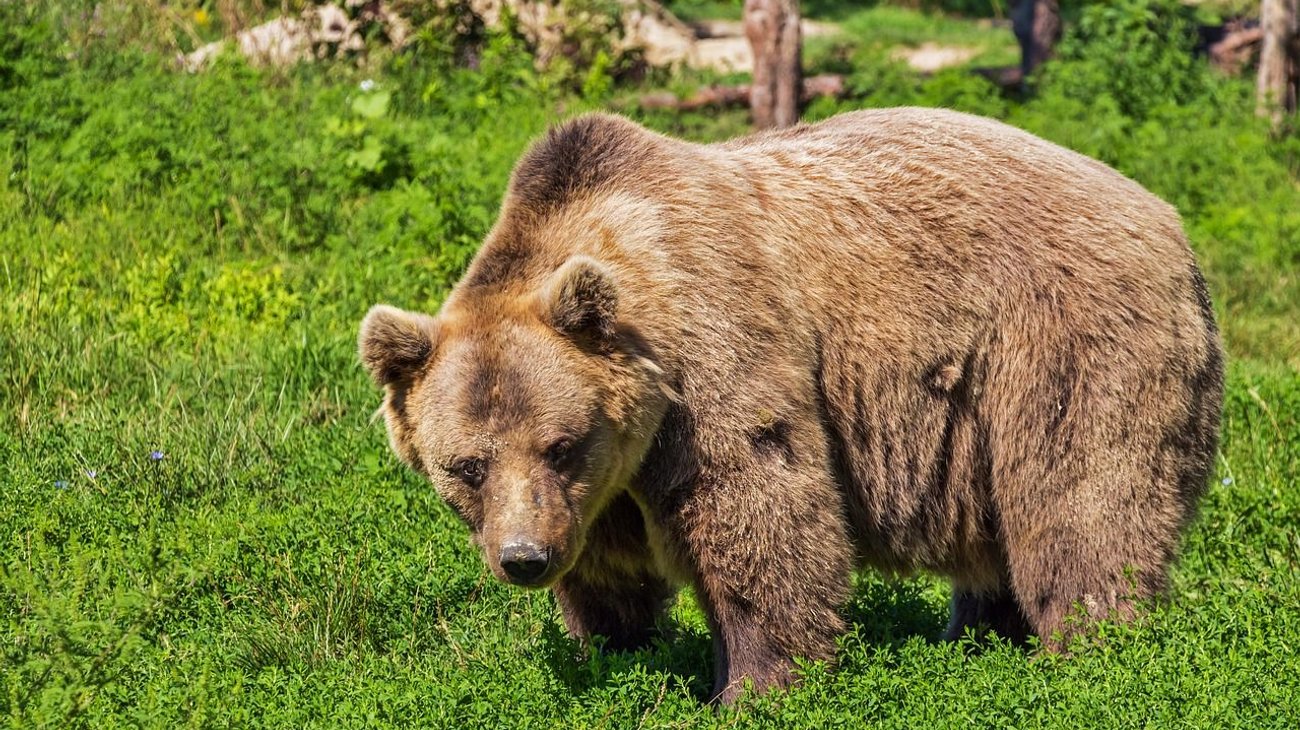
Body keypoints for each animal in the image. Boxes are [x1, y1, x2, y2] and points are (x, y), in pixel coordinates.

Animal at [358, 108, 1224, 703]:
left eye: (560, 443)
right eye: (466, 466)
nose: (523, 558)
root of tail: (1169, 219)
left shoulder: (713, 360)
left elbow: (759, 509)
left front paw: (752, 686)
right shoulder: (602, 486)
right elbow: (608, 571)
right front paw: (617, 650)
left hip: (1061, 342)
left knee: (1082, 500)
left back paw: (1089, 649)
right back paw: (978, 638)